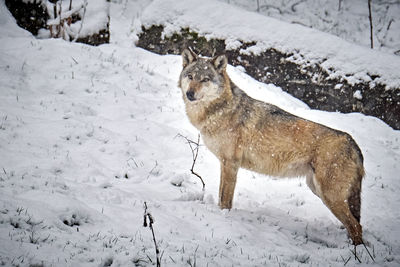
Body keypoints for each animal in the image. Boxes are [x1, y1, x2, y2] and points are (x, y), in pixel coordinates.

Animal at [178, 48, 366, 247]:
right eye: (190, 76)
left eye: (205, 79)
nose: (190, 94)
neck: (220, 111)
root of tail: (353, 143)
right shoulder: (225, 164)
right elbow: (222, 195)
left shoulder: (231, 164)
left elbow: (225, 199)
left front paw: (223, 217)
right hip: (318, 190)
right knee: (353, 225)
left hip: (329, 195)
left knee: (356, 226)